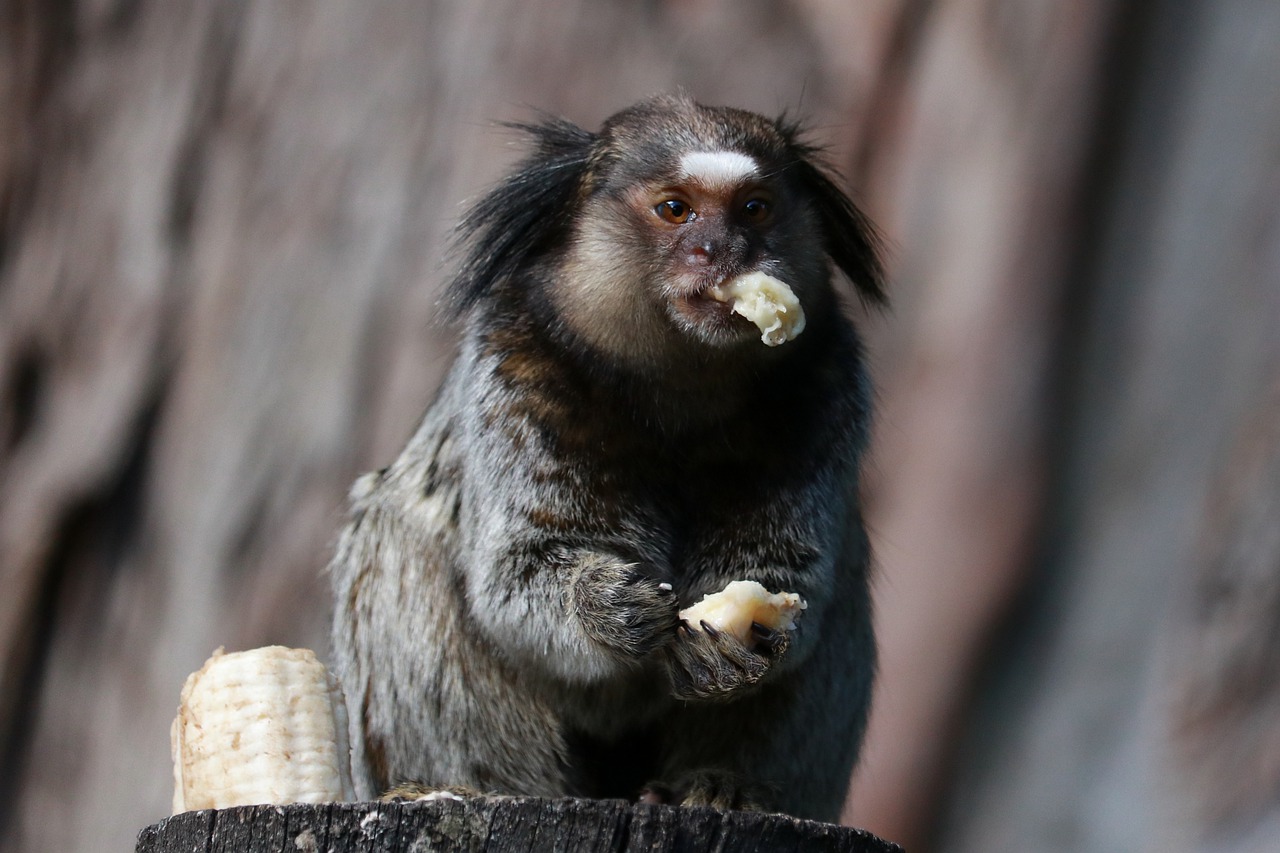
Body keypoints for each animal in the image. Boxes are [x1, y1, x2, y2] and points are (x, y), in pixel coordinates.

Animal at [330, 91, 885, 819]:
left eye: (754, 209)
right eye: (675, 209)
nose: (724, 252)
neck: (678, 393)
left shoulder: (830, 387)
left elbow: (796, 577)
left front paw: (744, 642)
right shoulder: (513, 369)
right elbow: (516, 576)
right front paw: (606, 609)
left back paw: (721, 782)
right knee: (397, 538)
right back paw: (475, 785)